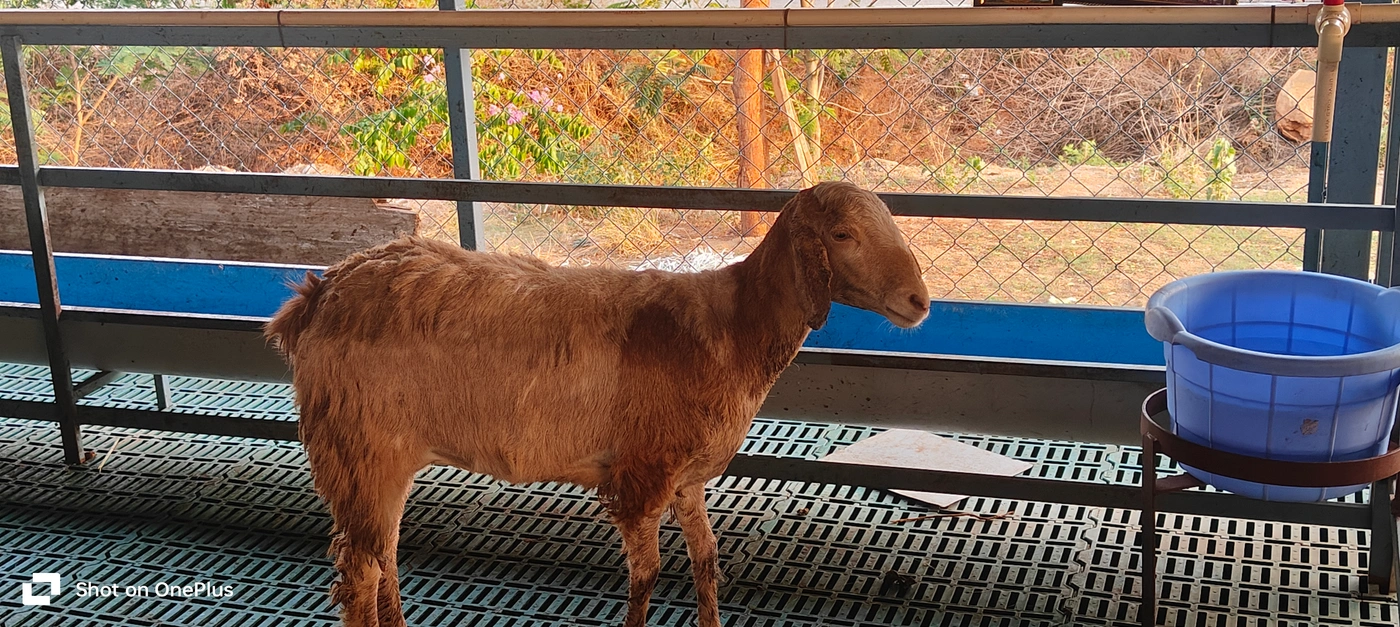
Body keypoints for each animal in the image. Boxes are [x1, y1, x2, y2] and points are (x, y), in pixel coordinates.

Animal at [265, 181, 931, 627]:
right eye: (843, 235)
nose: (920, 302)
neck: (732, 326)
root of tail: (318, 294)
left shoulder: (688, 477)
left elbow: (707, 561)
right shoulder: (641, 473)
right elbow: (647, 576)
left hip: (382, 459)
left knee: (384, 558)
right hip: (359, 450)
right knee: (359, 575)